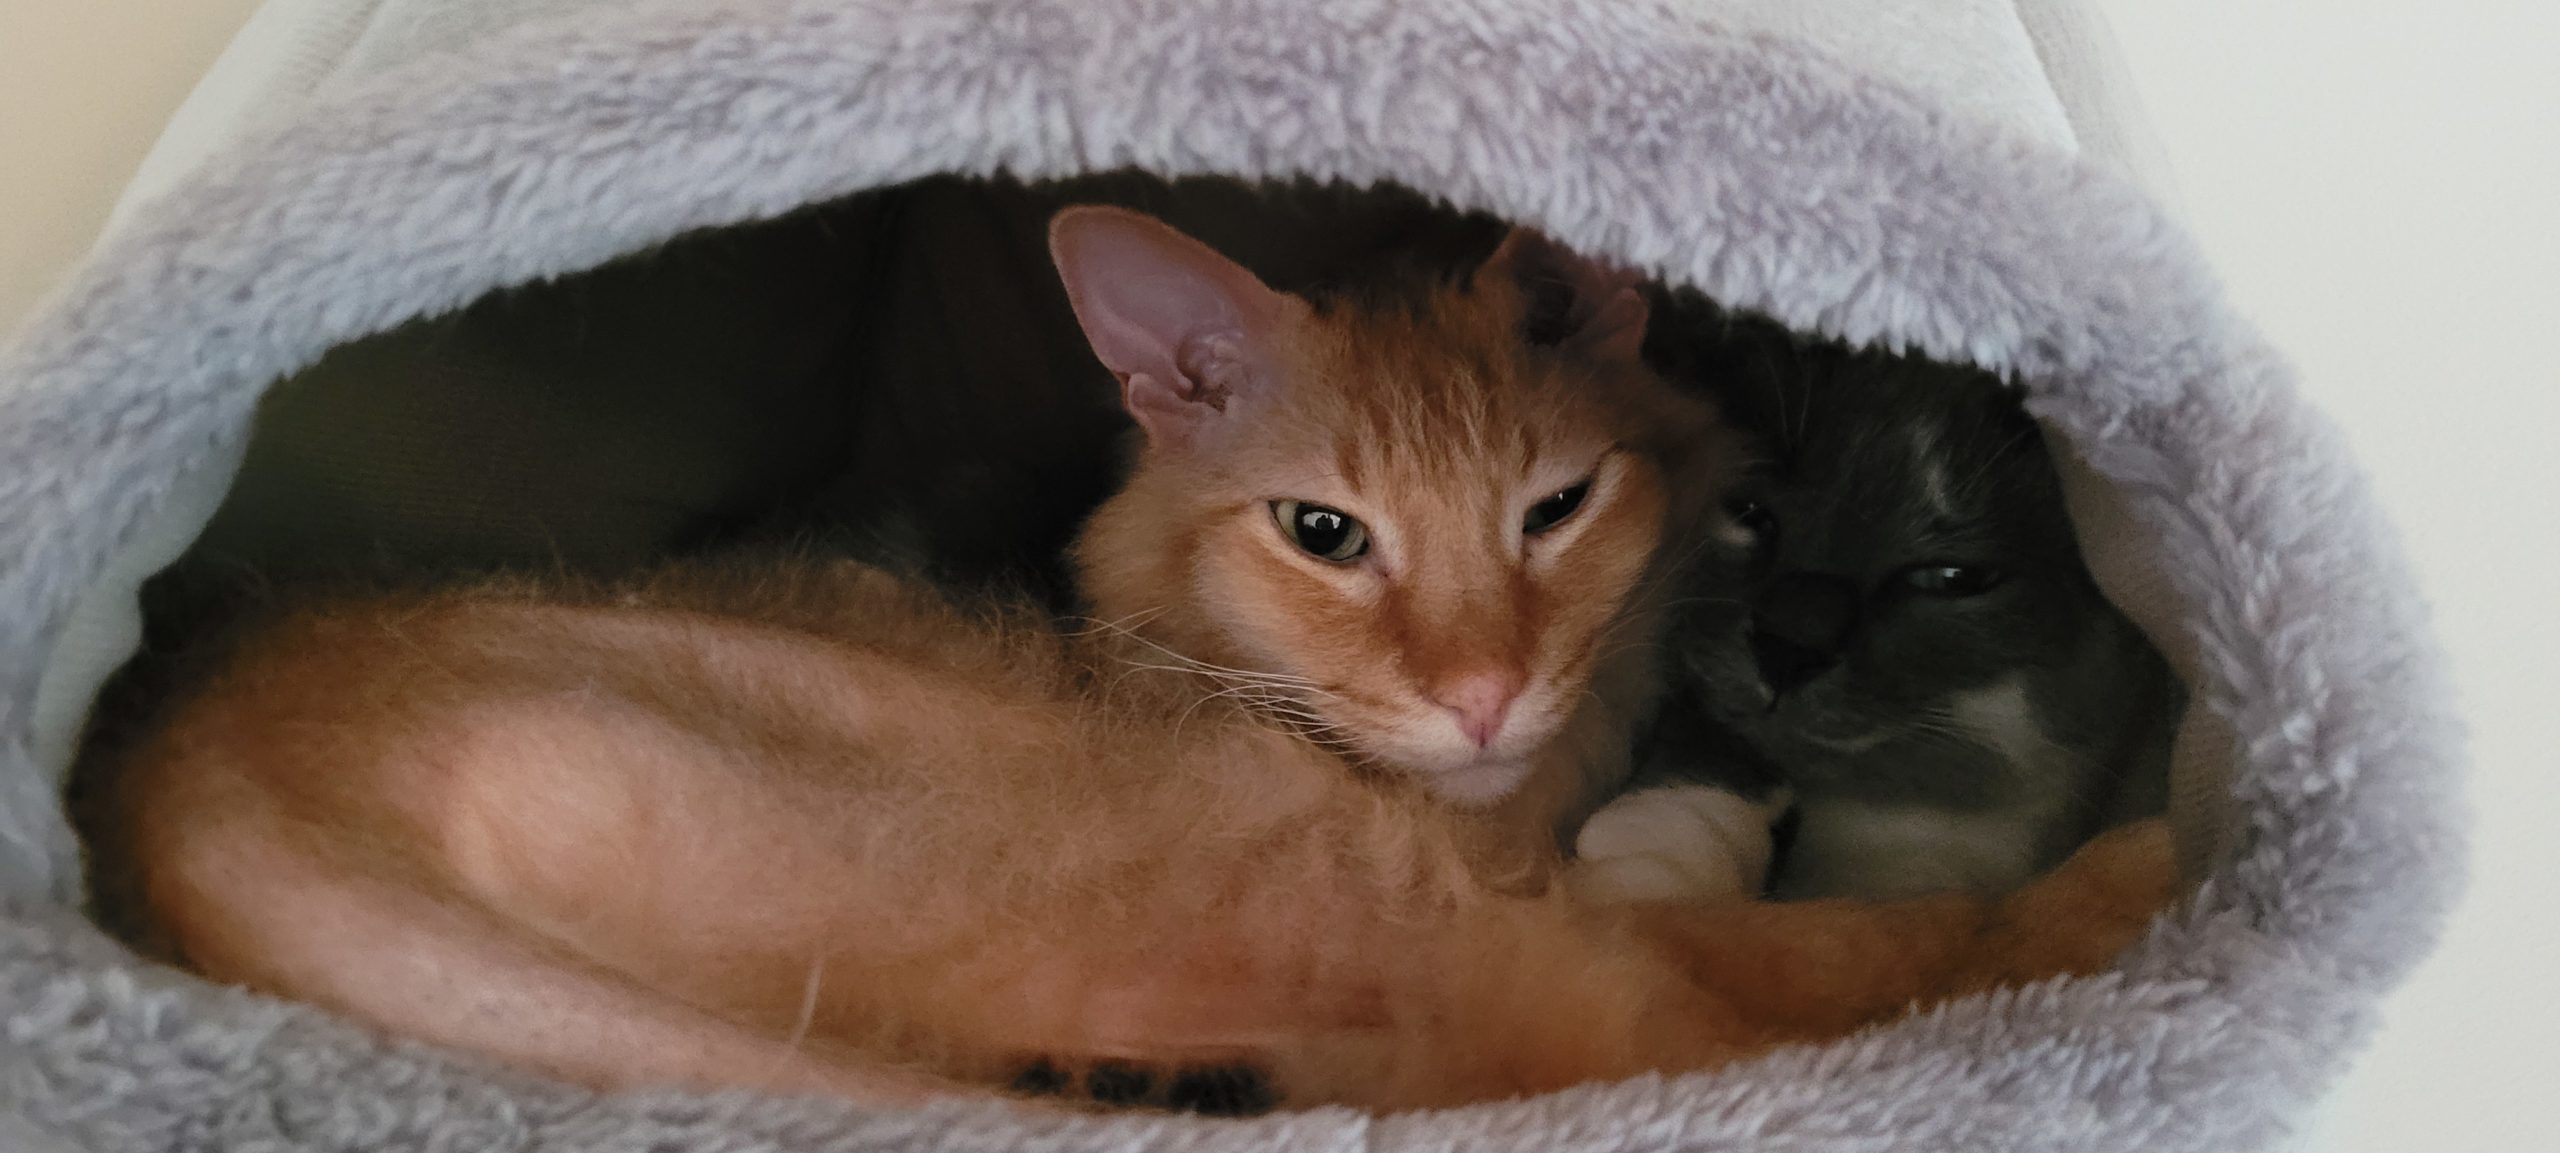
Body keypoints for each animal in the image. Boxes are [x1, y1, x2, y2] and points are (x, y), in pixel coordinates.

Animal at [104, 208, 2181, 1117]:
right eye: (1326, 535)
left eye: (1558, 507)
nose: (1482, 696)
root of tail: (203, 771)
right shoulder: (1499, 889)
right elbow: (1821, 942)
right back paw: (2143, 875)